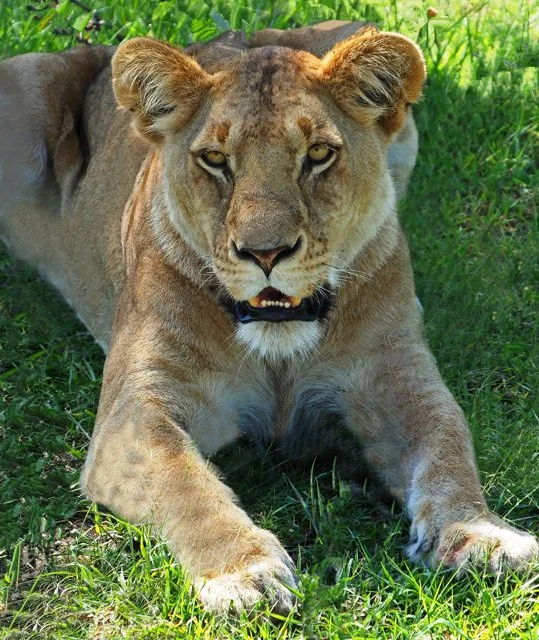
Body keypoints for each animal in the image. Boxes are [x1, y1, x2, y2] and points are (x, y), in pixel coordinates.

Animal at [0, 21, 536, 614]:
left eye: (319, 154)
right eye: (215, 159)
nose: (265, 253)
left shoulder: (398, 373)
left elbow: (447, 445)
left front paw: (480, 533)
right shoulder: (137, 407)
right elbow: (184, 479)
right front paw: (242, 572)